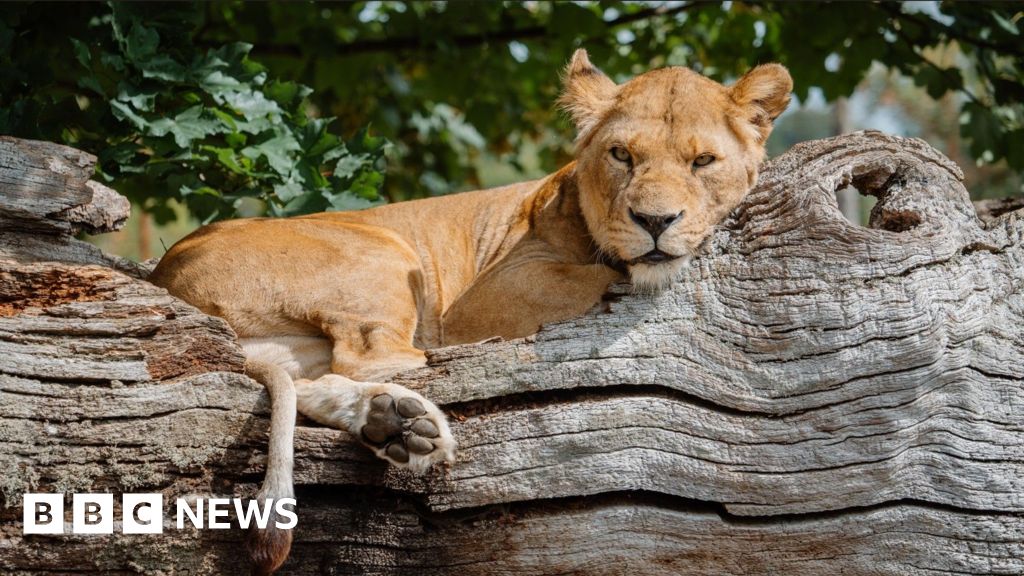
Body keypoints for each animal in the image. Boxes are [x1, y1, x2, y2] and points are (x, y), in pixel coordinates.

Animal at [149, 49, 791, 574]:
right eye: (621, 155)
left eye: (703, 162)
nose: (655, 222)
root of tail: (166, 272)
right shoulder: (485, 296)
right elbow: (605, 272)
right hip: (387, 251)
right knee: (377, 357)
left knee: (319, 380)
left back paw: (397, 424)